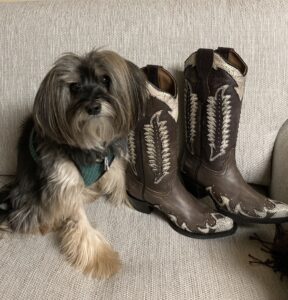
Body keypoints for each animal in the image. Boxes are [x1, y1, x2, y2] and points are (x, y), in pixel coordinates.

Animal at [0, 49, 147, 278]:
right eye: (75, 87)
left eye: (105, 80)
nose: (93, 107)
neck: (91, 143)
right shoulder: (65, 181)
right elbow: (80, 220)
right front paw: (101, 257)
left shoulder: (112, 163)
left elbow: (119, 182)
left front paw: (127, 200)